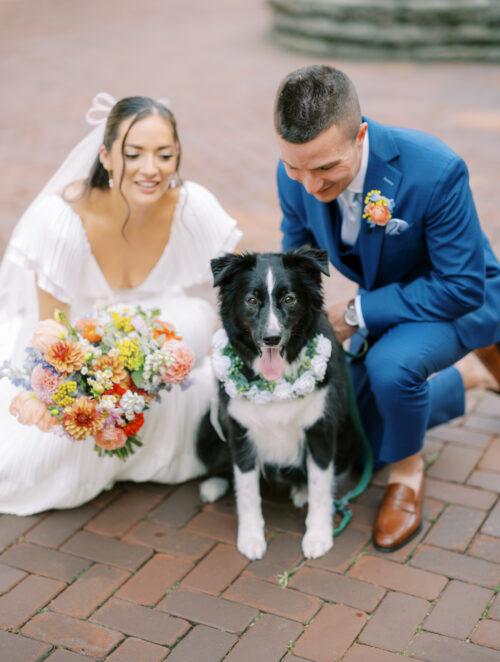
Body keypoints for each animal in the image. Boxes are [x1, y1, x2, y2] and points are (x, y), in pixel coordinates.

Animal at [197, 249, 354, 560]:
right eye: (251, 300)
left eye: (290, 299)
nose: (271, 338)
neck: (275, 383)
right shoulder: (240, 431)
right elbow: (247, 491)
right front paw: (251, 538)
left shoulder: (321, 429)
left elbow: (320, 486)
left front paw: (318, 536)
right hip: (206, 428)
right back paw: (213, 484)